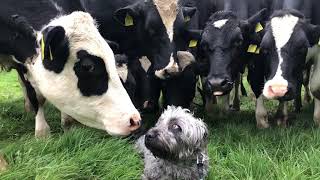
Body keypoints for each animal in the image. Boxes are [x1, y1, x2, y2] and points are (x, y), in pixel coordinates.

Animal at [0, 10, 141, 136]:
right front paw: (42, 133)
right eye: (87, 66)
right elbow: (36, 97)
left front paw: (68, 128)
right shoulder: (23, 67)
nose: (134, 120)